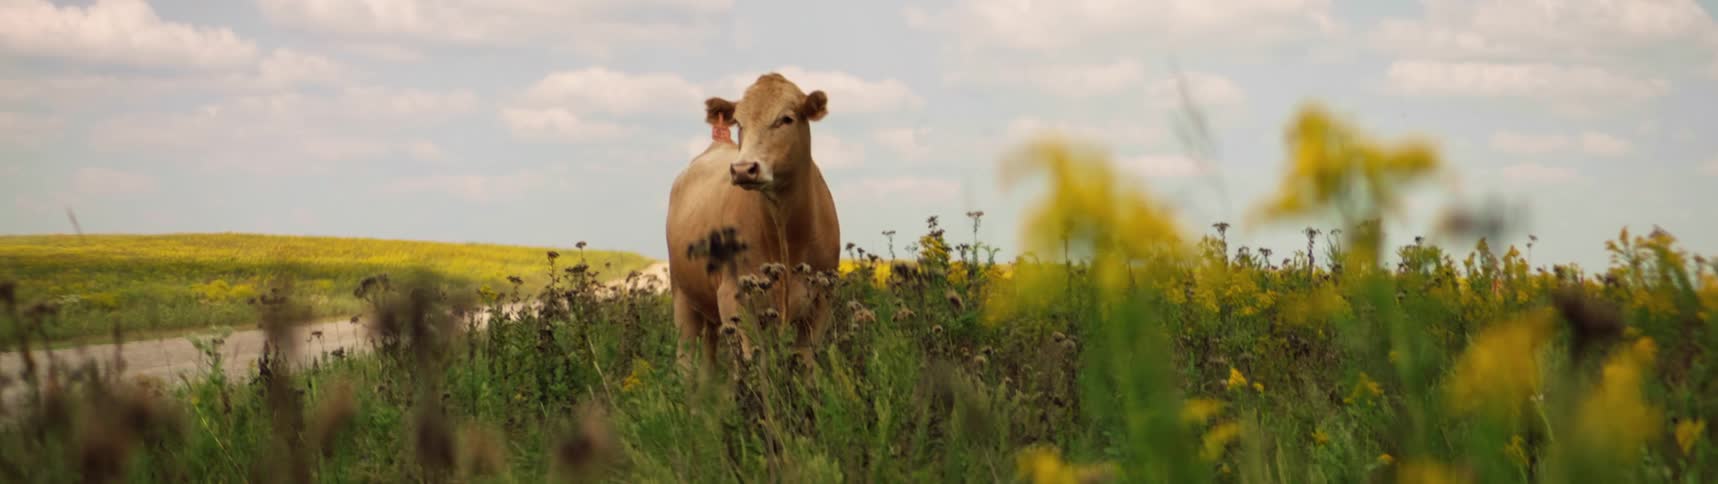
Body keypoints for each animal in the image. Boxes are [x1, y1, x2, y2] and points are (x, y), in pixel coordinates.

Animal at [665, 73, 842, 377]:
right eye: (739, 123)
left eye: (786, 119)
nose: (743, 169)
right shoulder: (732, 298)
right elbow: (751, 367)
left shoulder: (822, 300)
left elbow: (805, 364)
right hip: (682, 296)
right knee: (685, 360)